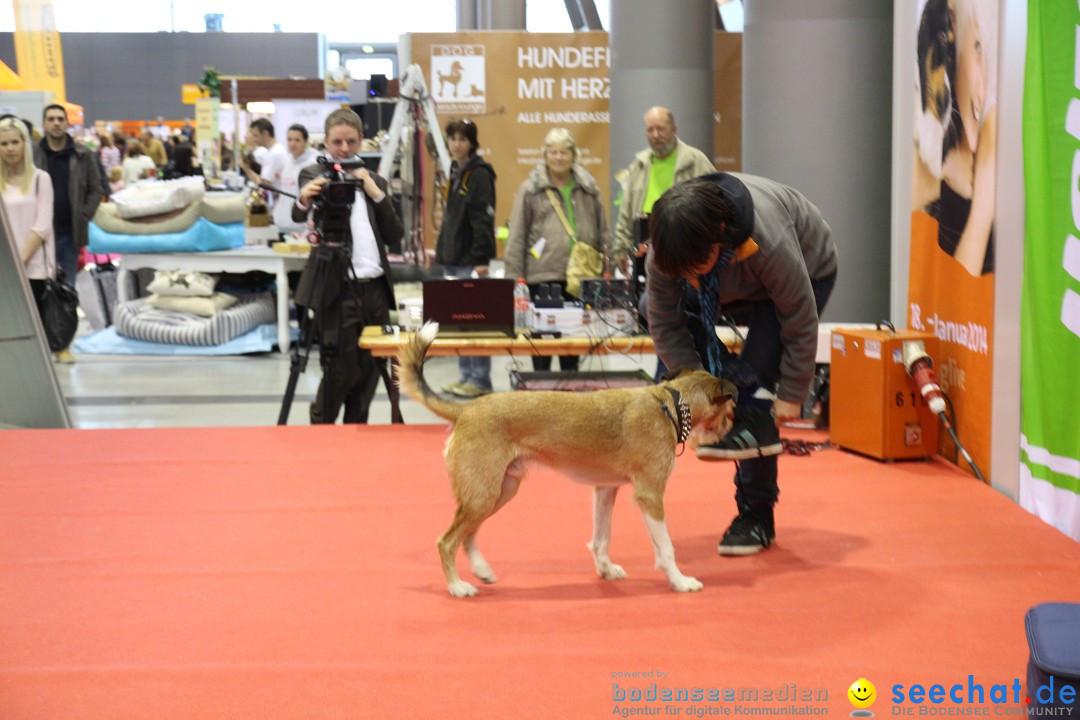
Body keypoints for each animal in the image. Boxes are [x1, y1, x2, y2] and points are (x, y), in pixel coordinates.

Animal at [401, 323, 738, 600]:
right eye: (729, 410)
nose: (729, 428)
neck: (670, 405)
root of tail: (465, 410)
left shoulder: (605, 489)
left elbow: (601, 538)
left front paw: (606, 570)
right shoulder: (650, 496)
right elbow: (666, 547)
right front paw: (680, 581)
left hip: (498, 491)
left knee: (468, 534)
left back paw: (481, 570)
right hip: (482, 495)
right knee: (447, 541)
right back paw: (457, 587)